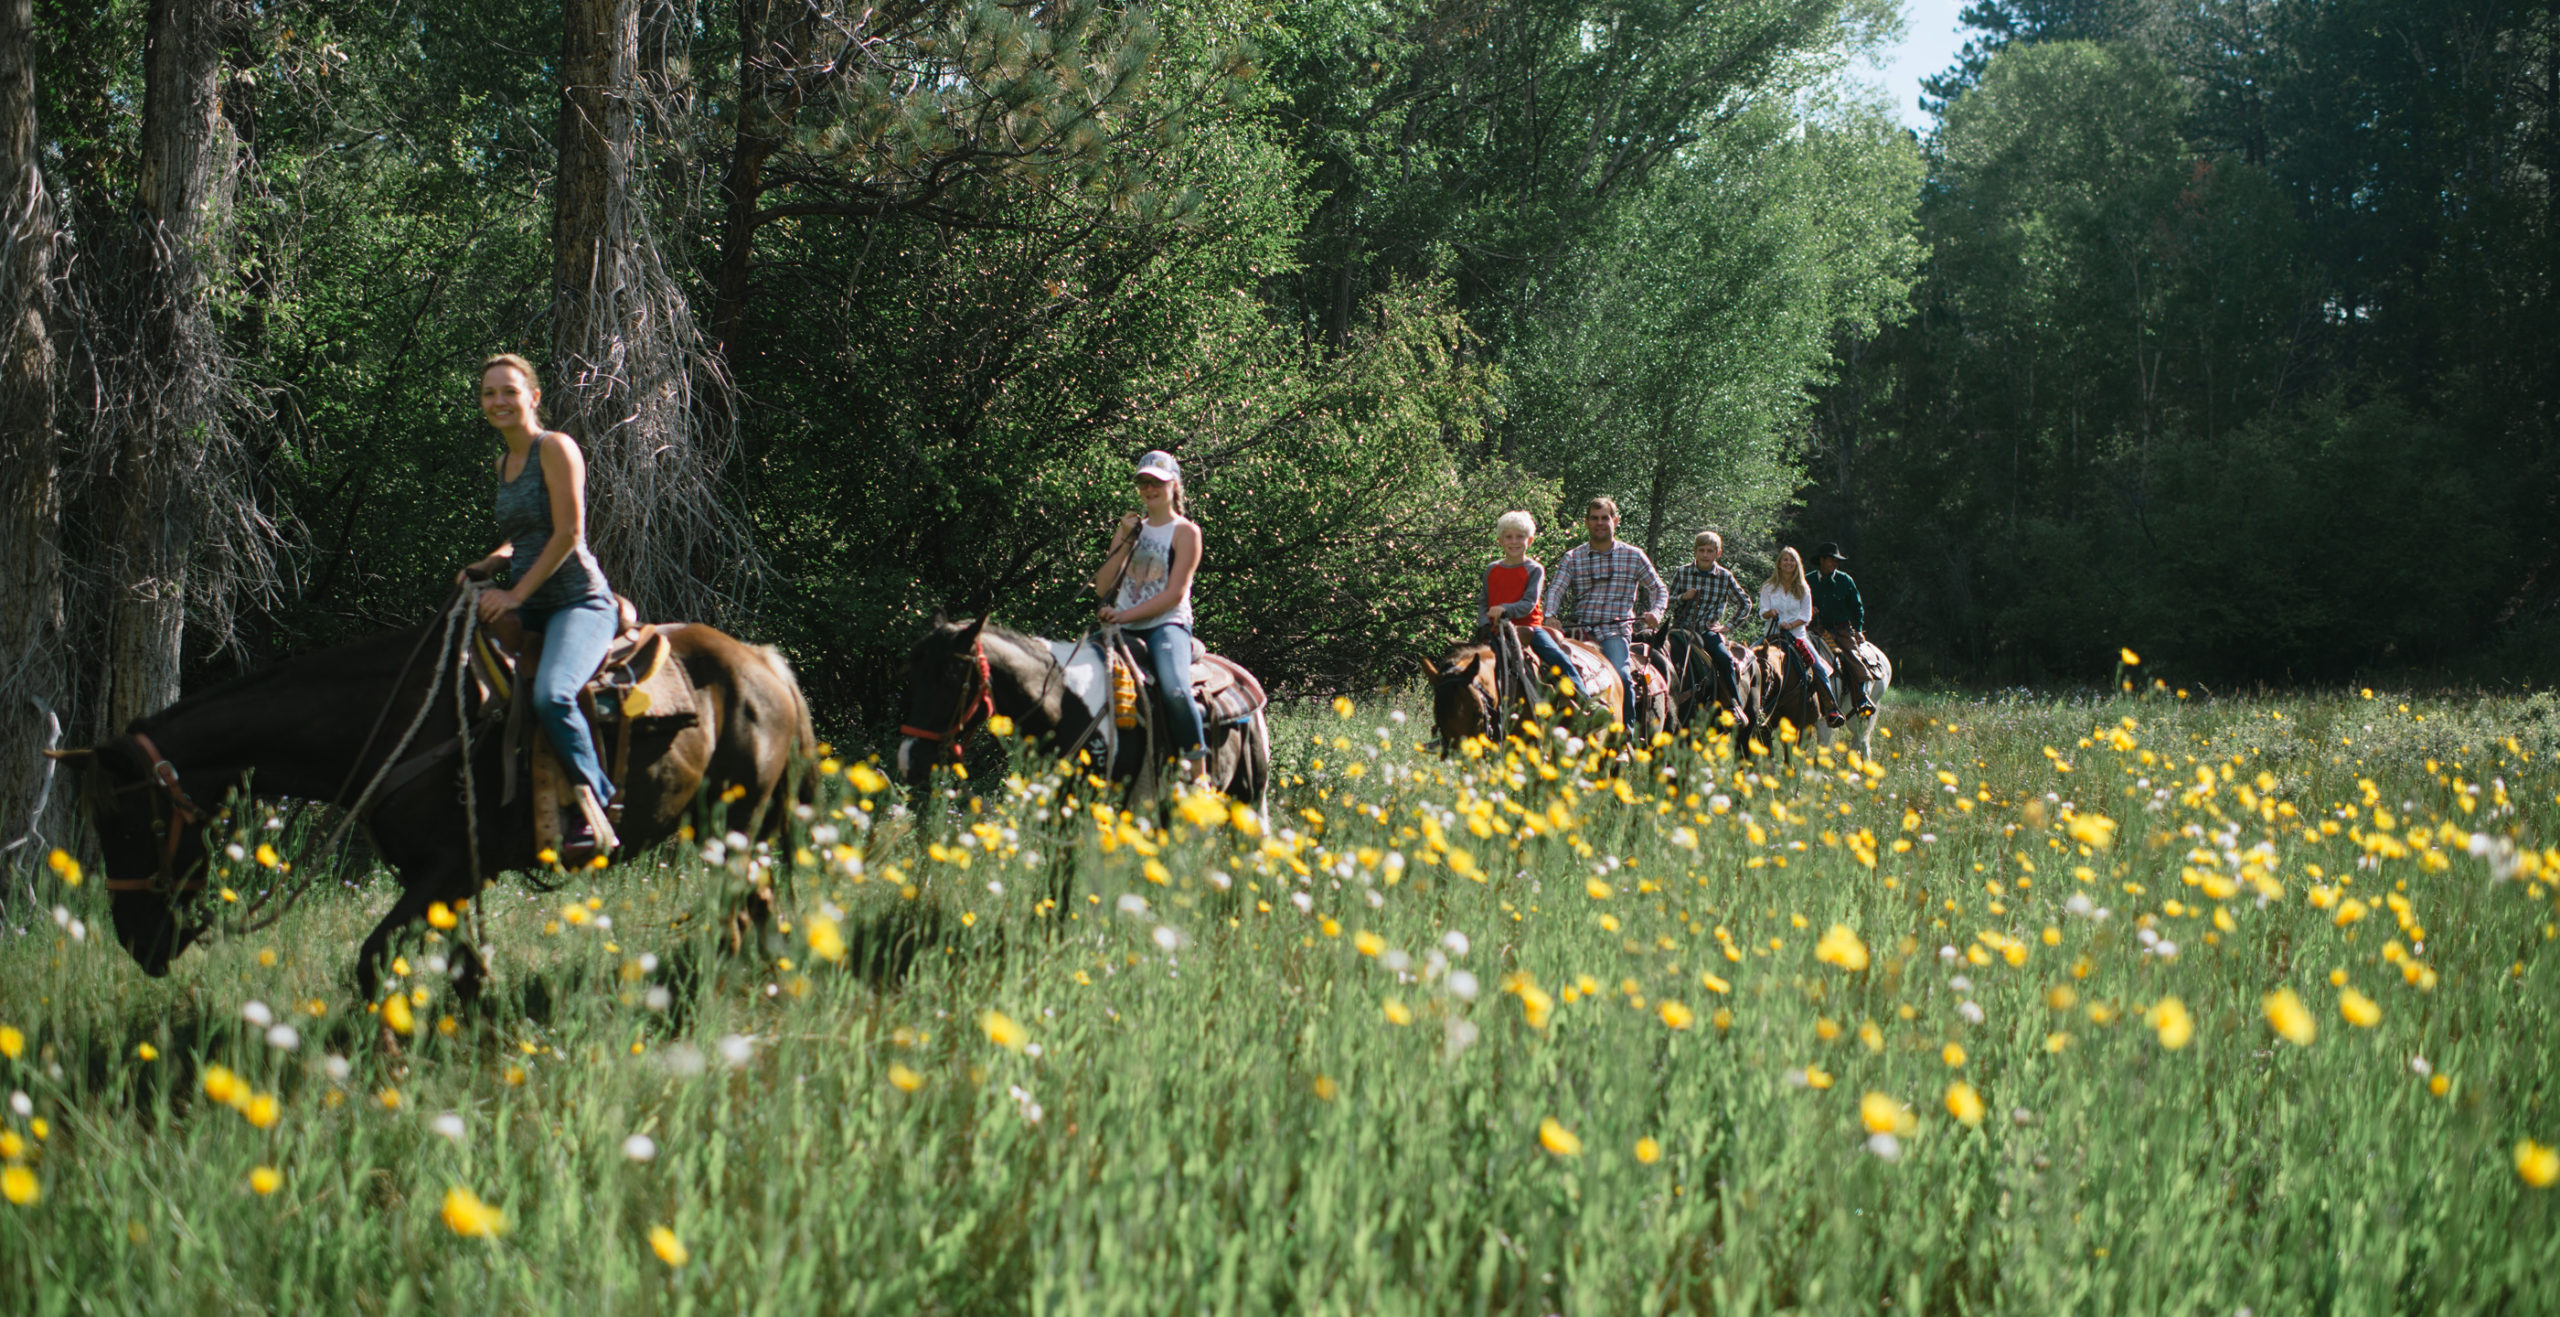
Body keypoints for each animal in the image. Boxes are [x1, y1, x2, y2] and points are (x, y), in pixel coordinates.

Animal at [57, 599, 808, 999]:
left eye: (128, 826)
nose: (138, 941)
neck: (391, 724)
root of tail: (763, 662)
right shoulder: (442, 880)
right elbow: (463, 971)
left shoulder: (447, 871)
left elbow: (371, 962)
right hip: (728, 833)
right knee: (758, 910)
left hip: (738, 829)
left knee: (743, 913)